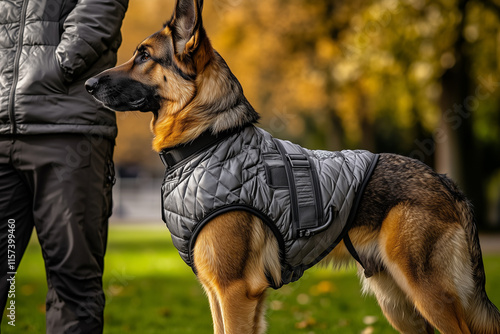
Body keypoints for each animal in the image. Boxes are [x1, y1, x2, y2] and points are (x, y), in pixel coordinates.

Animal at [86, 1, 500, 332]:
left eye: (144, 56)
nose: (87, 83)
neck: (209, 140)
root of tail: (443, 180)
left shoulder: (234, 292)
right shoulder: (222, 295)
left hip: (428, 294)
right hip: (400, 305)